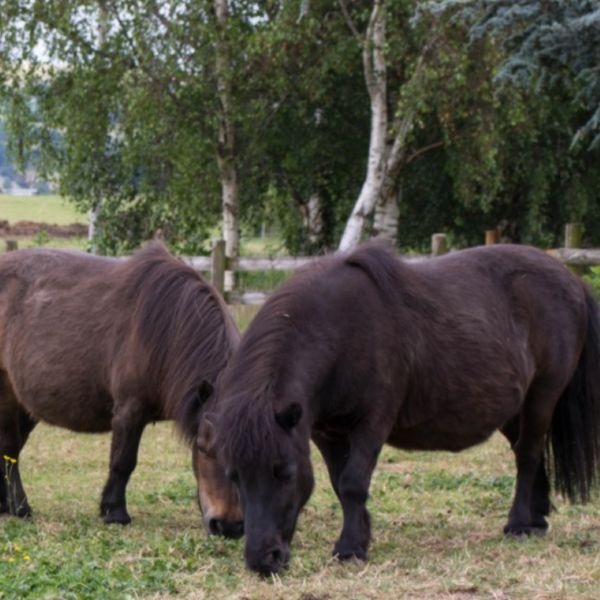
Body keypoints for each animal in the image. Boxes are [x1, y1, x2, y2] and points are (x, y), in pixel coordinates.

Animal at [1, 241, 244, 536]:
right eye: (204, 448)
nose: (228, 525)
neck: (167, 328)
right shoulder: (130, 410)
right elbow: (123, 462)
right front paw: (114, 511)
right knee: (9, 448)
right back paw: (20, 507)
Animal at [210, 241, 600, 576]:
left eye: (286, 472)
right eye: (234, 476)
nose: (264, 559)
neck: (339, 328)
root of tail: (573, 280)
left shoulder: (371, 424)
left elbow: (353, 483)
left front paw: (350, 549)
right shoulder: (324, 433)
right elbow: (339, 482)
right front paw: (362, 536)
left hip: (542, 396)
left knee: (528, 456)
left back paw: (518, 524)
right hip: (512, 408)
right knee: (529, 453)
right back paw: (538, 518)